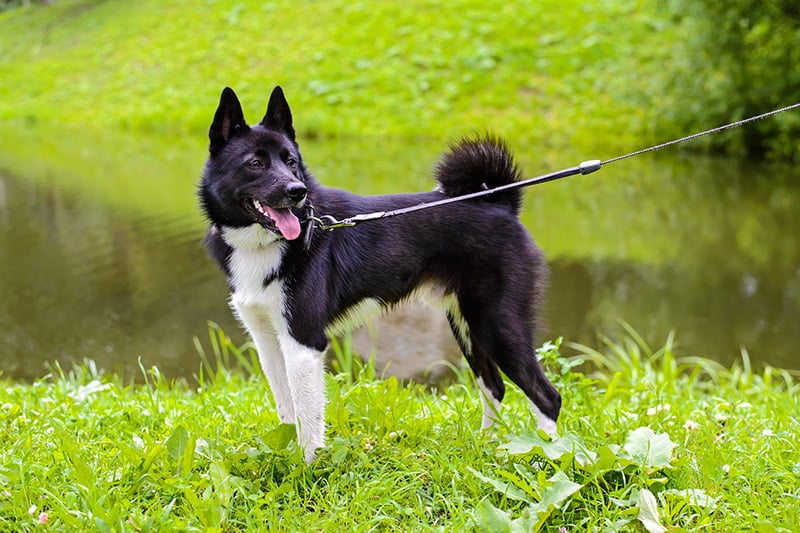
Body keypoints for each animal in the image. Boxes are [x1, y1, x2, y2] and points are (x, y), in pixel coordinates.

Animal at [200, 85, 564, 460]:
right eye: (255, 163)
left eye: (291, 162)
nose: (296, 191)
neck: (265, 244)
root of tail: (500, 203)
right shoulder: (268, 340)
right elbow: (287, 410)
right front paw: (283, 456)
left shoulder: (304, 342)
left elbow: (308, 419)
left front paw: (308, 466)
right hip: (466, 323)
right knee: (494, 386)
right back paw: (486, 446)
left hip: (497, 323)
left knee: (547, 396)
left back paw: (547, 457)